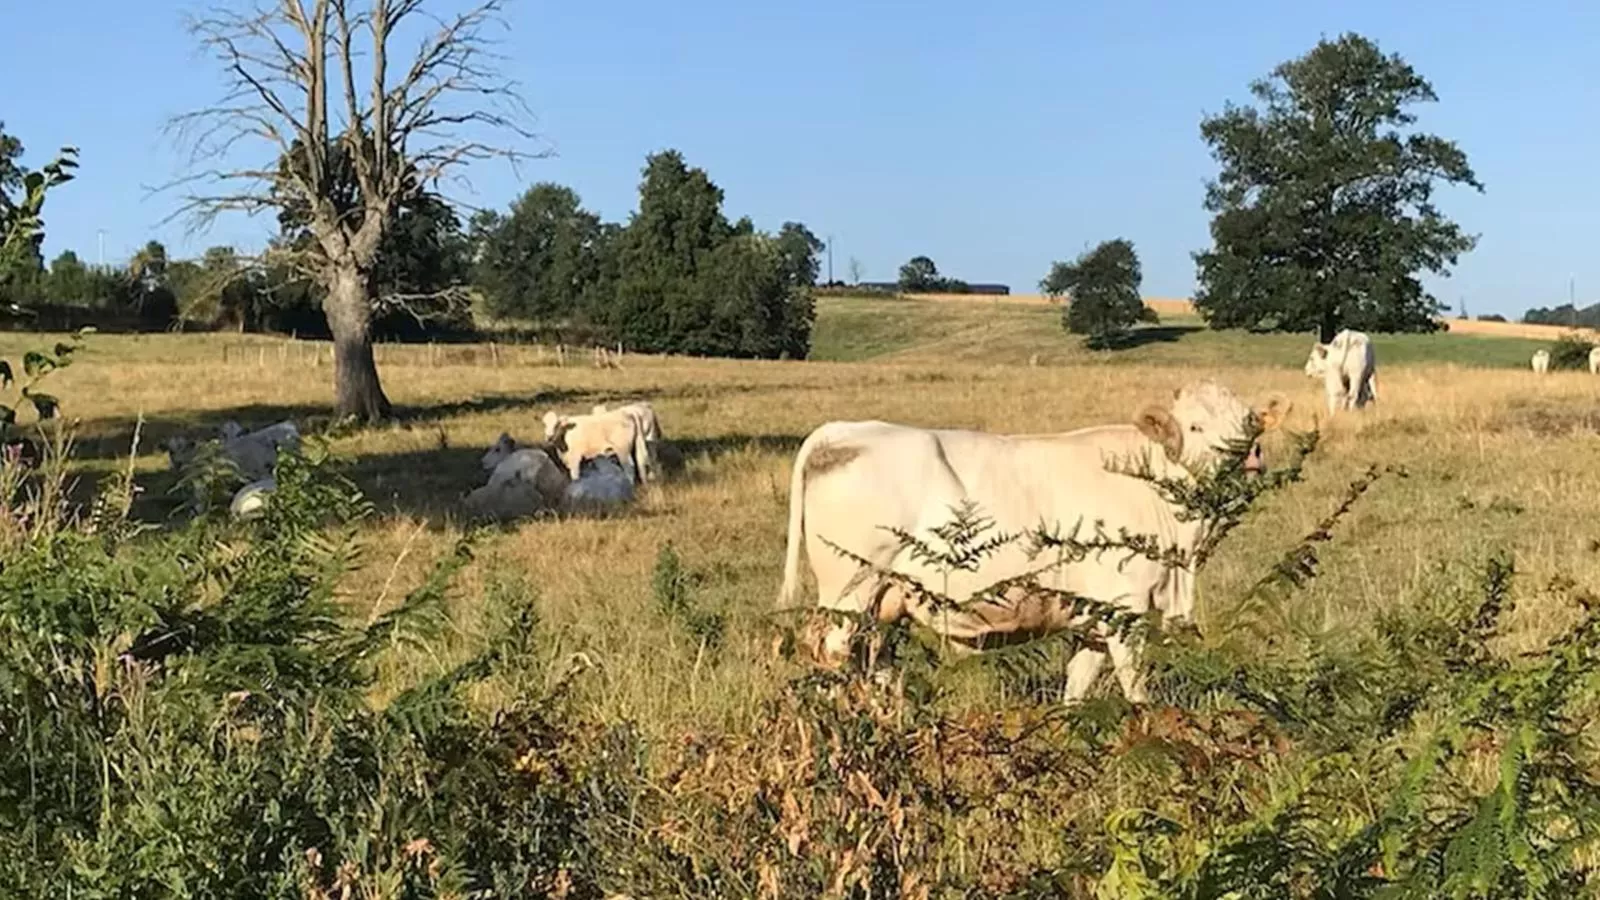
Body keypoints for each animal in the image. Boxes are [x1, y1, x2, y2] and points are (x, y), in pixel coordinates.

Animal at [774, 376, 1286, 701]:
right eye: (1196, 425)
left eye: (1250, 421)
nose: (1248, 452)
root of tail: (843, 430)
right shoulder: (1126, 606)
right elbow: (1136, 688)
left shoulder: (1091, 617)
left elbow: (1077, 687)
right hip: (849, 587)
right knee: (834, 656)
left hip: (885, 599)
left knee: (874, 661)